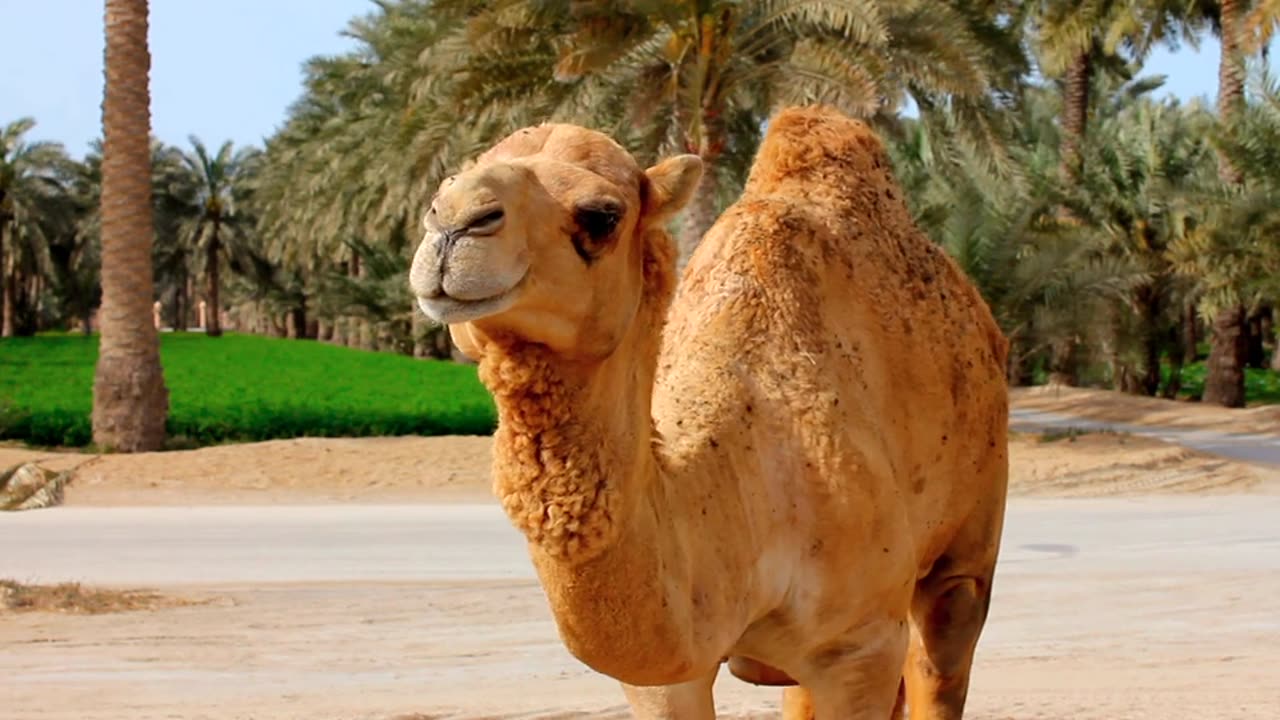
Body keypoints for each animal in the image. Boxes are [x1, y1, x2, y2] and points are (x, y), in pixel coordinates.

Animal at [409, 105, 1009, 719]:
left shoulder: (860, 647)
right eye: (442, 188)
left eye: (602, 215)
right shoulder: (666, 673)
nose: (453, 222)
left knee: (942, 652)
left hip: (967, 540)